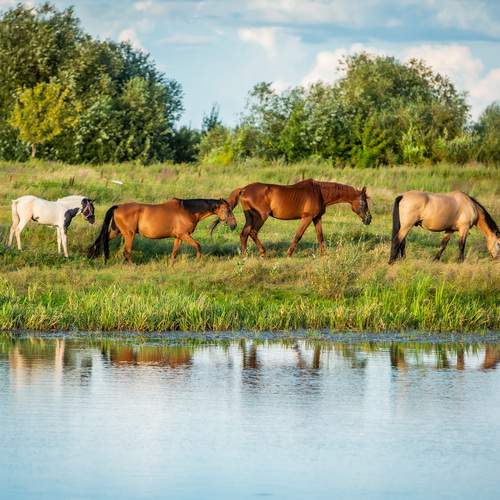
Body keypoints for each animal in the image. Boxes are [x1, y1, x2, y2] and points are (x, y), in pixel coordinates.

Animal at [87, 198, 237, 263]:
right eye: (228, 210)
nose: (234, 225)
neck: (188, 211)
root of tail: (117, 207)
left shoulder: (179, 237)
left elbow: (174, 252)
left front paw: (171, 265)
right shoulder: (184, 235)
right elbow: (198, 246)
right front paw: (198, 261)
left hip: (115, 231)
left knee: (100, 240)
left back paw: (92, 255)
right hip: (129, 234)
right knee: (127, 251)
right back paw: (132, 265)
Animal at [211, 179, 372, 257]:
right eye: (363, 202)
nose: (369, 219)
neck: (319, 192)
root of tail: (244, 189)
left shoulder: (316, 218)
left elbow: (320, 236)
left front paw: (324, 254)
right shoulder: (306, 218)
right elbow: (298, 235)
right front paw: (288, 253)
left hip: (250, 218)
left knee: (244, 234)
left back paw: (245, 255)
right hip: (261, 217)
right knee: (252, 232)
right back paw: (262, 253)